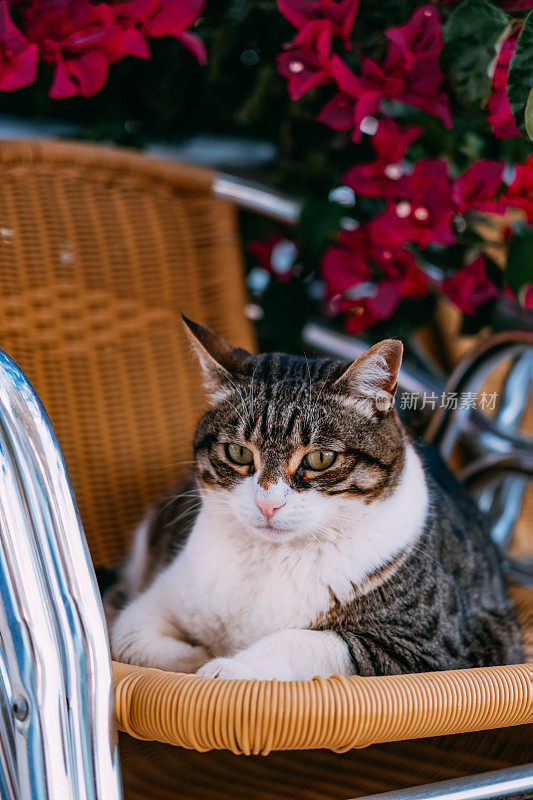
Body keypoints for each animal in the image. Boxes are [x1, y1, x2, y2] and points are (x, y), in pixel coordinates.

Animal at [107, 316, 520, 680]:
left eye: (319, 458)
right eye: (238, 453)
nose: (268, 504)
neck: (273, 560)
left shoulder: (442, 644)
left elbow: (306, 641)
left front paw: (228, 666)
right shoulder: (163, 596)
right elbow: (126, 635)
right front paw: (201, 652)